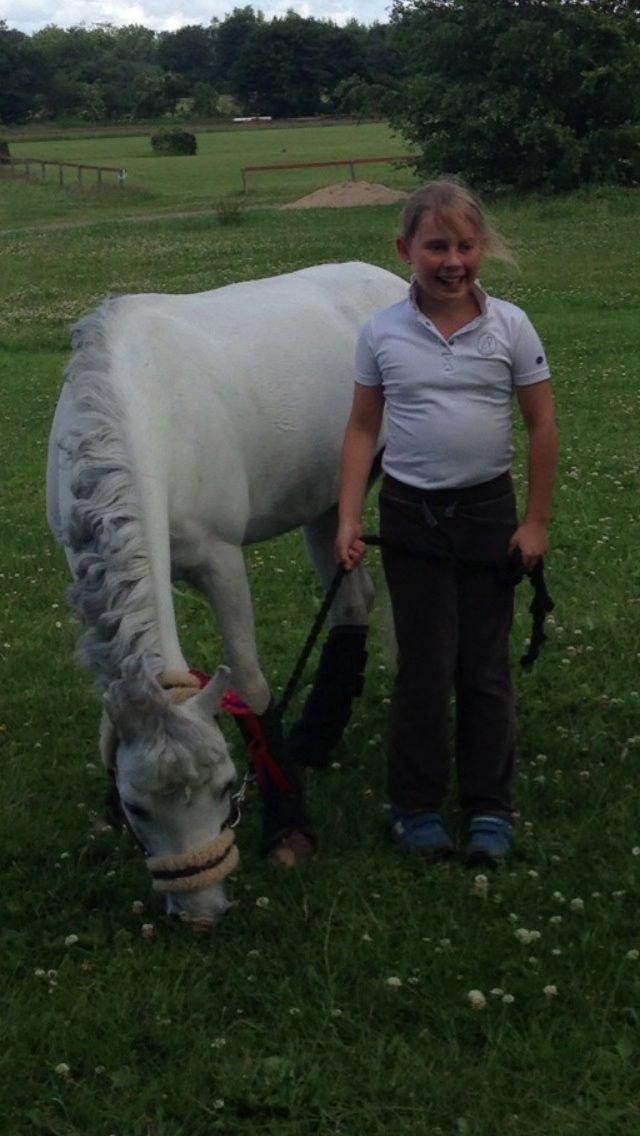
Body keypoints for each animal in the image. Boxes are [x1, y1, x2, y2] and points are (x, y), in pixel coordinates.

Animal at [47, 263, 404, 931]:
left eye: (223, 786)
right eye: (137, 807)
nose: (202, 912)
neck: (142, 405)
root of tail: (387, 280)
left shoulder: (222, 562)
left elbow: (253, 685)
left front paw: (288, 824)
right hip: (326, 501)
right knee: (351, 602)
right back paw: (313, 739)